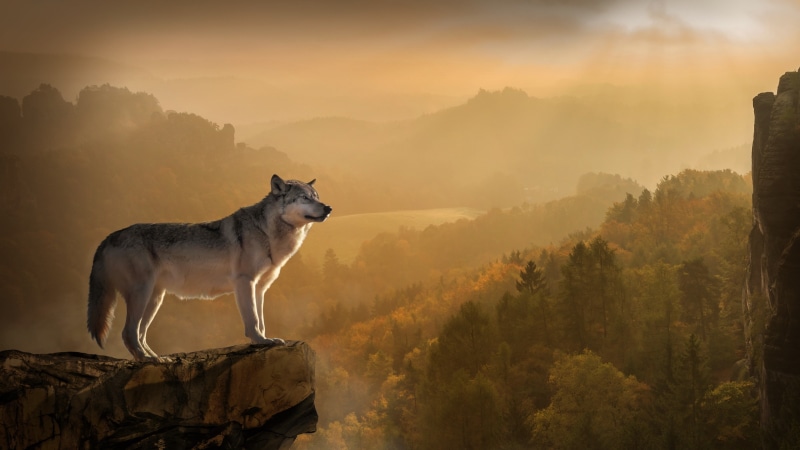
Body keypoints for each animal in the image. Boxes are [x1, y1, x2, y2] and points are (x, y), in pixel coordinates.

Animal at [87, 174, 331, 360]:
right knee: (128, 333)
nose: (329, 208)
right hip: (142, 294)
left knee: (140, 333)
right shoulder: (245, 282)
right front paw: (260, 341)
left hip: (155, 299)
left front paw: (265, 340)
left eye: (317, 197)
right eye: (304, 198)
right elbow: (252, 320)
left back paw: (156, 358)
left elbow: (261, 320)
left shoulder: (260, 288)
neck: (267, 232)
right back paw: (148, 360)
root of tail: (108, 238)